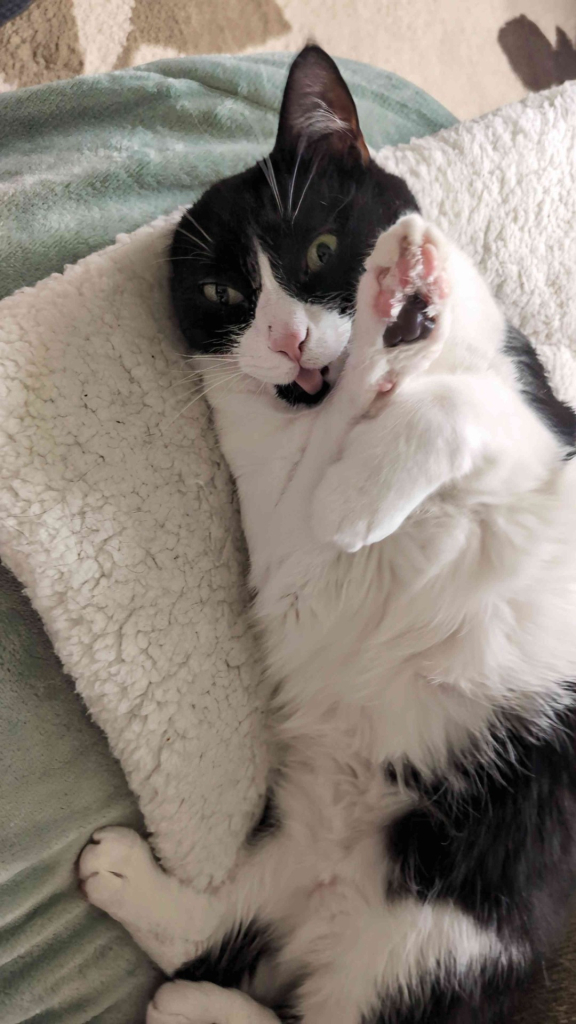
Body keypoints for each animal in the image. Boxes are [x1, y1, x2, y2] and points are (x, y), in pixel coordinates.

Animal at [78, 46, 573, 1024]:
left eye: (316, 249)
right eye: (225, 294)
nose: (291, 339)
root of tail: (328, 901)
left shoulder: (539, 449)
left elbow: (454, 400)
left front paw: (409, 293)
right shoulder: (284, 551)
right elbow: (338, 484)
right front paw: (362, 453)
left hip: (440, 923)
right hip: (341, 865)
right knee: (220, 945)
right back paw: (160, 947)